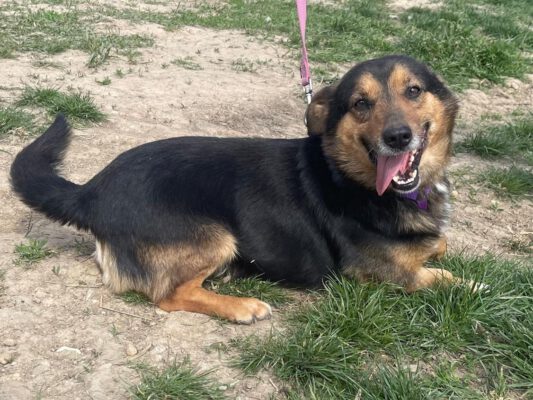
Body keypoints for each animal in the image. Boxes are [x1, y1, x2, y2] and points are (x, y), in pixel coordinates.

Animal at [11, 55, 462, 324]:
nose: (398, 137)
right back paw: (241, 306)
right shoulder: (384, 273)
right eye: (360, 104)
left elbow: (438, 243)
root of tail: (91, 191)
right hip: (215, 235)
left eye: (414, 90)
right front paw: (467, 282)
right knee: (169, 295)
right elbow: (446, 279)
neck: (349, 174)